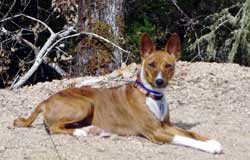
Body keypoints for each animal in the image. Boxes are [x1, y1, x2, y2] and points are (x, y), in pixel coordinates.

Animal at [13, 32, 223, 154]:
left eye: (169, 66)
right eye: (151, 64)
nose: (160, 81)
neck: (152, 96)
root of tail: (46, 100)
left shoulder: (166, 125)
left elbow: (191, 133)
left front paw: (212, 141)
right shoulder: (156, 132)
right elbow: (184, 139)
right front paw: (209, 147)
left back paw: (89, 129)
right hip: (84, 104)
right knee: (53, 128)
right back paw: (80, 132)